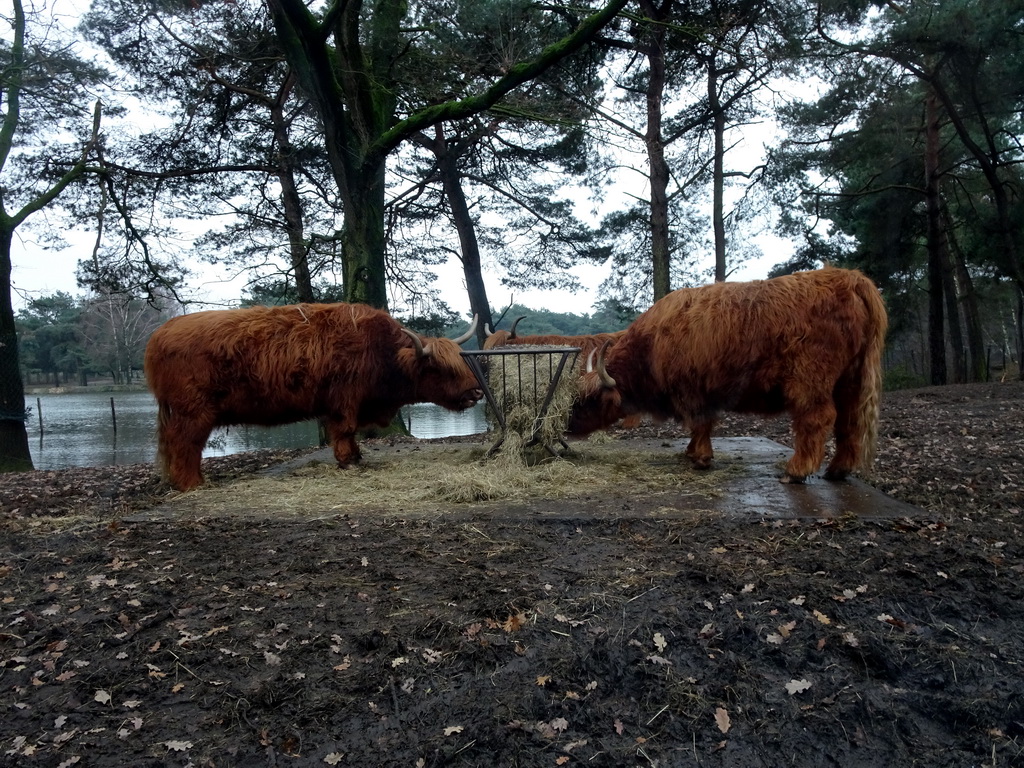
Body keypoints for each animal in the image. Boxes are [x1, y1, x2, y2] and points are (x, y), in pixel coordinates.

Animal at [144, 303, 483, 489]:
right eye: (444, 369)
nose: (477, 392)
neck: (382, 352)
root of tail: (161, 333)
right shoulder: (345, 400)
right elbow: (345, 430)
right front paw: (348, 462)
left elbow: (350, 434)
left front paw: (356, 456)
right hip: (193, 411)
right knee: (185, 444)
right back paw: (192, 484)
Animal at [569, 270, 888, 483]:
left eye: (587, 401)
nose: (567, 426)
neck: (651, 346)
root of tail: (848, 277)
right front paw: (691, 452)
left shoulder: (693, 390)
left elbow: (700, 423)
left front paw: (700, 458)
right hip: (851, 381)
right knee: (849, 421)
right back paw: (838, 470)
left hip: (810, 379)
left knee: (817, 418)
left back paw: (796, 470)